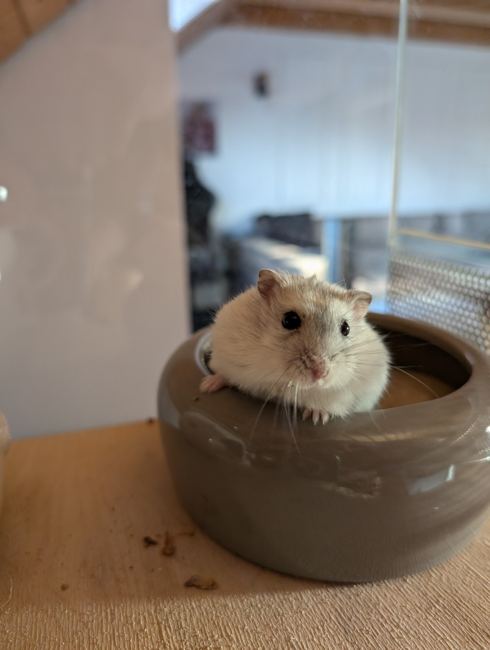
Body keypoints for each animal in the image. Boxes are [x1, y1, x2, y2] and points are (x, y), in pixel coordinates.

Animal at [200, 269, 390, 424]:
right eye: (290, 320)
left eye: (346, 328)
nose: (320, 373)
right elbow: (225, 374)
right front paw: (206, 386)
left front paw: (316, 418)